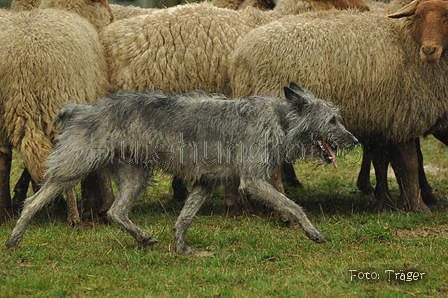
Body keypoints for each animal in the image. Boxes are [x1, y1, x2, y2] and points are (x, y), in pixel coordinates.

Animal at [5, 82, 358, 253]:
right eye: (332, 120)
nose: (355, 140)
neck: (280, 120)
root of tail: (81, 108)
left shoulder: (205, 183)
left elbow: (184, 218)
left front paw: (181, 248)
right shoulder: (253, 181)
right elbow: (294, 206)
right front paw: (313, 232)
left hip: (134, 175)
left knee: (116, 211)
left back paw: (142, 238)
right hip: (73, 168)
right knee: (32, 202)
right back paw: (13, 240)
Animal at [229, 1, 448, 213]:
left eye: (446, 16)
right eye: (419, 16)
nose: (429, 51)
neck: (407, 38)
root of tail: (242, 55)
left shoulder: (385, 118)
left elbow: (391, 161)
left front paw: (393, 203)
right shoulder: (405, 114)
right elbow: (411, 162)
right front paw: (418, 207)